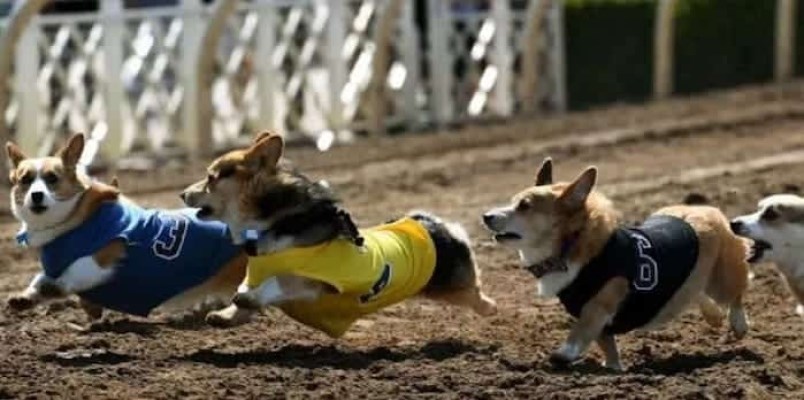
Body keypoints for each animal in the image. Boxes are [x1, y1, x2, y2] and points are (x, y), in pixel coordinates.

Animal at [4, 134, 248, 322]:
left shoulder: (108, 253)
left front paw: (55, 287)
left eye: (52, 178)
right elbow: (40, 279)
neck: (71, 222)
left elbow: (76, 269)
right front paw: (26, 297)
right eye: (25, 180)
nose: (36, 195)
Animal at [181, 132, 496, 338]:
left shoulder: (315, 280)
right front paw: (226, 314)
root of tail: (434, 224)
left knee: (479, 297)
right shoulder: (256, 271)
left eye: (211, 178)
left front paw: (247, 298)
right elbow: (245, 292)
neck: (278, 220)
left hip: (456, 288)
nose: (182, 193)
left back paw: (491, 310)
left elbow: (278, 280)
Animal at [484, 158, 752, 370]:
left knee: (736, 293)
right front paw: (614, 368)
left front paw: (563, 354)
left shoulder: (600, 304)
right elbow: (607, 346)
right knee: (695, 292)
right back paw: (713, 315)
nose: (485, 216)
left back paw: (738, 323)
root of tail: (706, 208)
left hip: (723, 279)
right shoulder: (602, 325)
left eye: (524, 206)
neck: (572, 245)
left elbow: (581, 329)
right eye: (512, 201)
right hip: (690, 280)